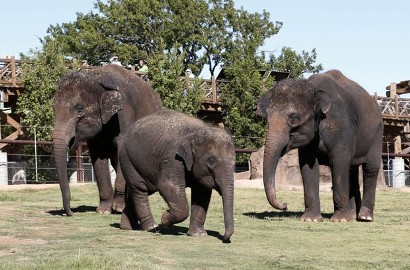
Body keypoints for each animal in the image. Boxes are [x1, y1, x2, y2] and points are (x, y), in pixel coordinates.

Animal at [52, 64, 163, 216]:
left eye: (79, 109)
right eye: (53, 109)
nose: (69, 213)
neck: (98, 80)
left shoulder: (124, 115)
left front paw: (118, 208)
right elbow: (98, 159)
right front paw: (103, 211)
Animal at [118, 109, 234, 243]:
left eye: (235, 162)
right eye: (211, 161)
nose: (225, 239)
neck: (196, 132)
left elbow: (202, 193)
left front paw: (198, 234)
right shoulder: (172, 158)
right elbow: (167, 185)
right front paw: (165, 219)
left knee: (138, 189)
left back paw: (128, 227)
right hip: (127, 159)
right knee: (140, 189)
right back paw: (152, 227)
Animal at [256, 69, 384, 221]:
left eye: (293, 119)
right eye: (267, 118)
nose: (285, 205)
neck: (313, 88)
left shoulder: (342, 126)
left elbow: (339, 161)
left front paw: (339, 220)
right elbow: (308, 165)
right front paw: (310, 219)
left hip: (377, 133)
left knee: (370, 168)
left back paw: (364, 217)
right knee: (351, 170)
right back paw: (353, 215)